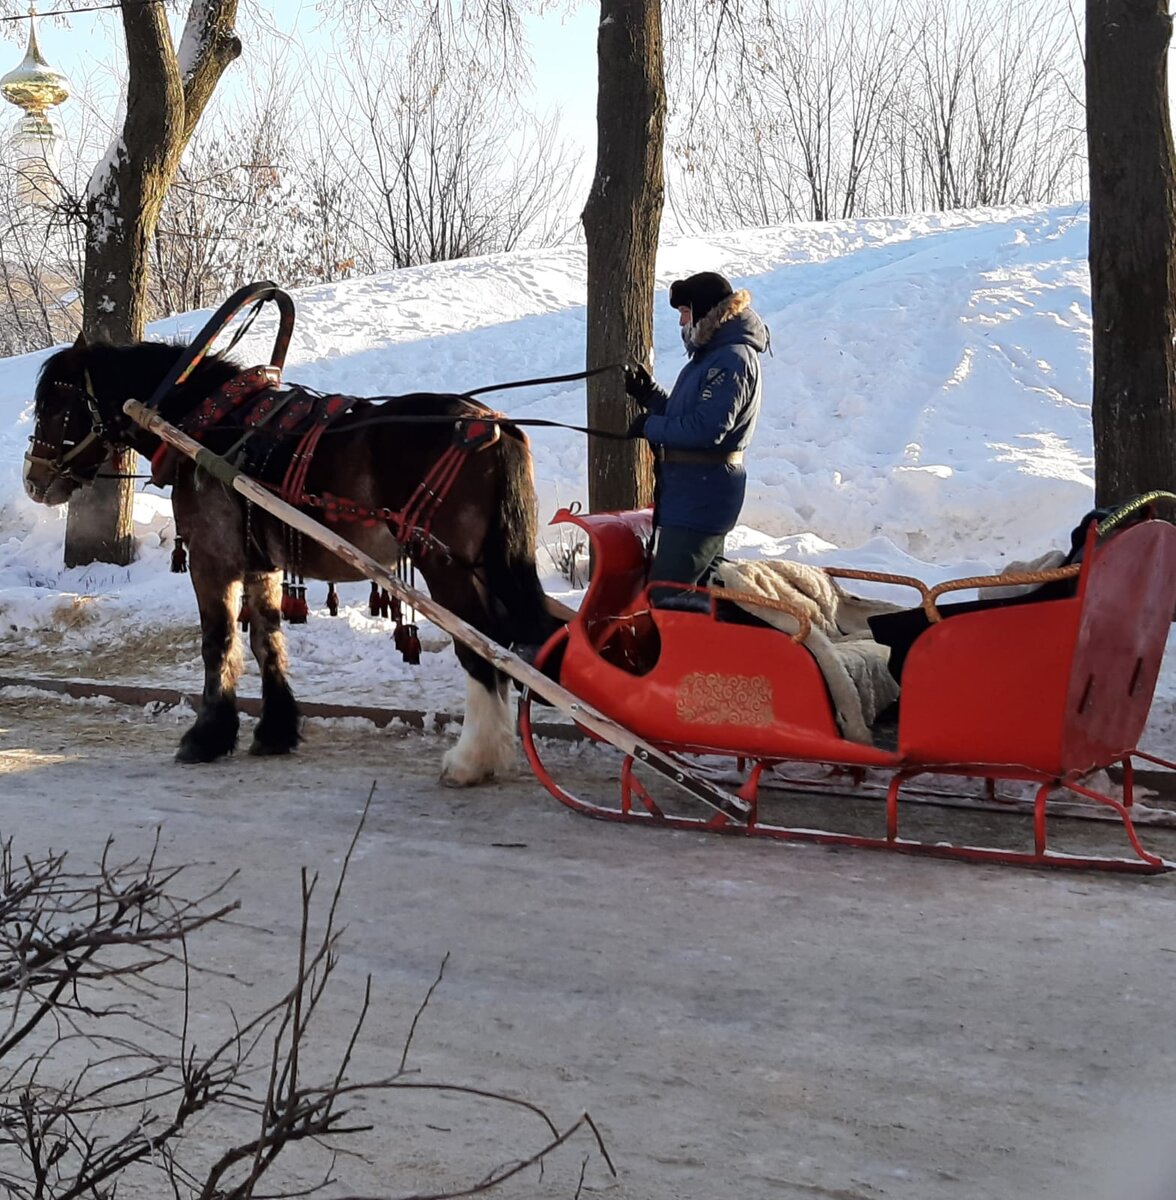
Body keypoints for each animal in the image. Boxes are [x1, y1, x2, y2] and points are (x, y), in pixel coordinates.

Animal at [21, 340, 564, 787]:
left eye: (54, 404)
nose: (32, 479)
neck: (209, 424)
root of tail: (493, 425)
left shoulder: (211, 559)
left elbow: (218, 643)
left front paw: (206, 737)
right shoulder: (261, 564)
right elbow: (268, 639)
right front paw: (275, 730)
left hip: (447, 566)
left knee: (481, 647)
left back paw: (471, 761)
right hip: (481, 566)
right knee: (502, 642)